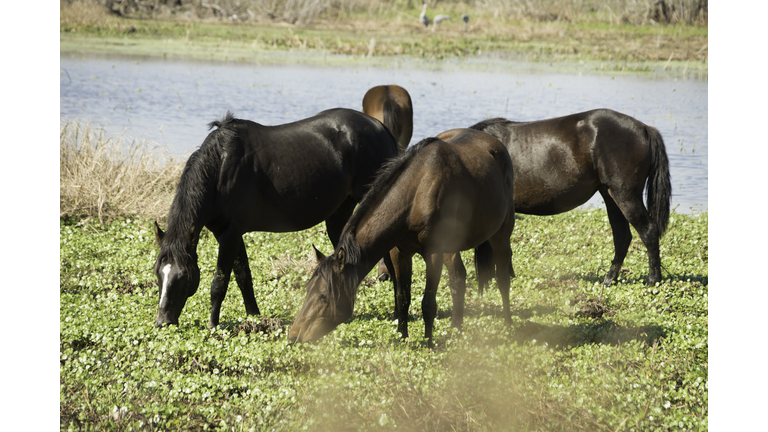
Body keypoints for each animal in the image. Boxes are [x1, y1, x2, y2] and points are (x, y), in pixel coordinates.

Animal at [152, 108, 399, 328]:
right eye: (158, 273)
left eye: (184, 276)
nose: (163, 322)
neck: (220, 168)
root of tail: (382, 128)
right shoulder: (232, 233)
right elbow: (243, 276)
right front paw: (253, 315)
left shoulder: (229, 235)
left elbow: (219, 281)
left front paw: (213, 324)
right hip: (339, 214)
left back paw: (397, 312)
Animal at [288, 128, 516, 348]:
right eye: (307, 289)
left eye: (323, 296)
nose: (293, 335)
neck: (417, 194)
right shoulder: (399, 253)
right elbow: (402, 297)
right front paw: (401, 336)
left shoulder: (434, 253)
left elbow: (428, 302)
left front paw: (428, 342)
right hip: (452, 247)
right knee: (458, 278)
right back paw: (457, 329)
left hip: (501, 234)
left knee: (502, 277)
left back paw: (507, 324)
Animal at [469, 108, 671, 293]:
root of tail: (645, 128)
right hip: (611, 197)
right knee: (622, 237)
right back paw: (609, 280)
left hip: (625, 196)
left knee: (648, 231)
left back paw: (653, 281)